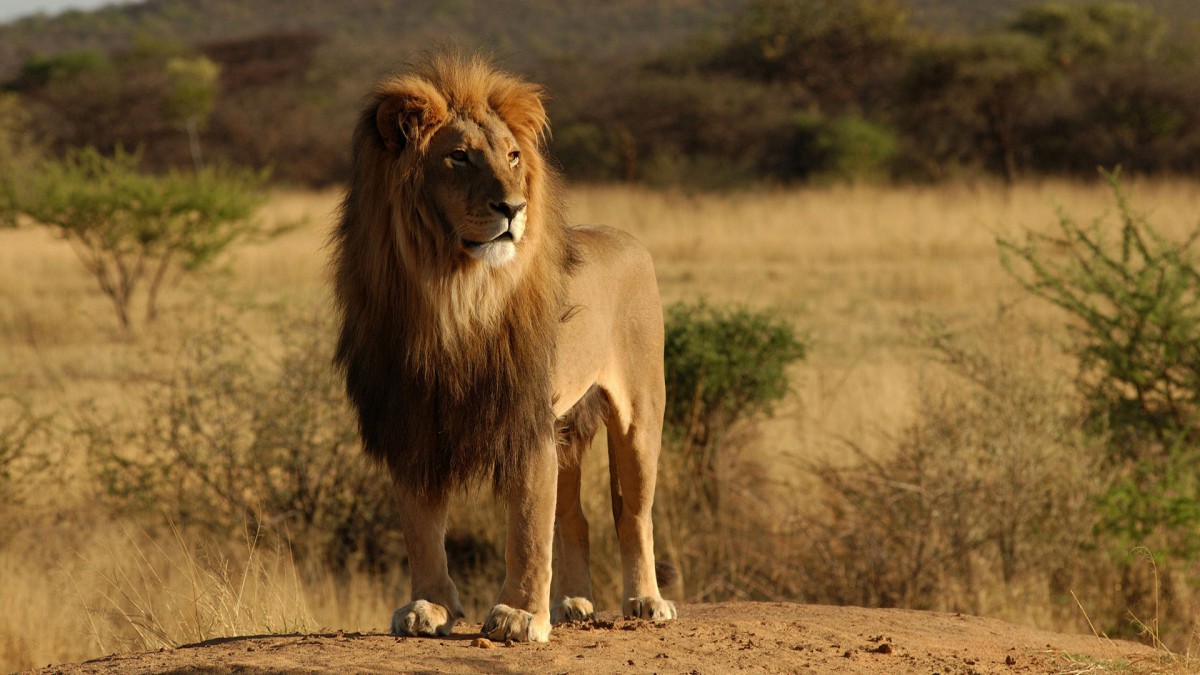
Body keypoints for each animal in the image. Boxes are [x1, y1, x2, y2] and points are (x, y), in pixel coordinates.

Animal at [331, 53, 676, 638]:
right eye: (459, 157)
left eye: (513, 156)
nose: (513, 207)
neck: (452, 294)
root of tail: (627, 238)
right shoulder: (412, 419)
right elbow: (421, 528)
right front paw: (429, 606)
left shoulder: (524, 417)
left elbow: (528, 528)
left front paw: (519, 615)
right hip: (568, 427)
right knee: (575, 517)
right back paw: (574, 604)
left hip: (640, 415)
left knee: (632, 514)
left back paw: (646, 601)